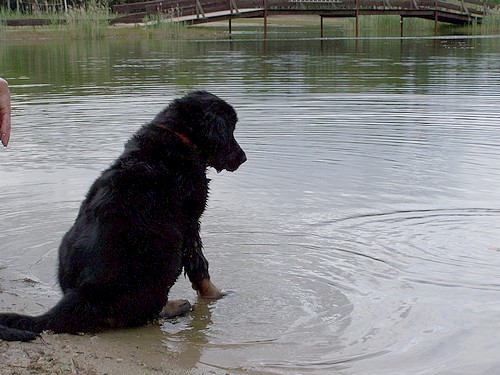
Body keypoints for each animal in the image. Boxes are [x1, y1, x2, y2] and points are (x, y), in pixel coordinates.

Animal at [0, 90, 246, 340]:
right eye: (231, 128)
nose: (243, 158)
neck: (178, 135)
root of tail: (83, 292)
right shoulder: (190, 222)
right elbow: (200, 265)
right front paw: (217, 294)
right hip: (167, 255)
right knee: (145, 314)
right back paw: (176, 307)